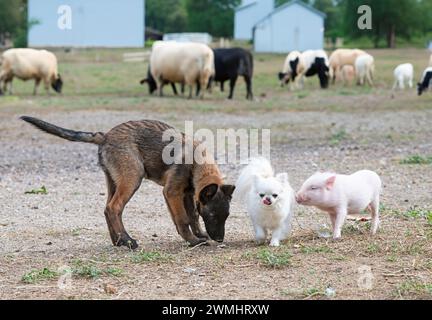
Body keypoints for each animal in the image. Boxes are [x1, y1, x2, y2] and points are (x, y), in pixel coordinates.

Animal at [21, 117, 236, 250]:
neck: (197, 162)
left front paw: (199, 235)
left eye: (226, 216)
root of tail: (105, 135)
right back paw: (128, 240)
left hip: (114, 181)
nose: (220, 239)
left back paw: (118, 241)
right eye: (212, 215)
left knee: (107, 208)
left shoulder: (188, 194)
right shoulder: (172, 192)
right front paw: (192, 241)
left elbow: (192, 216)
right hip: (132, 178)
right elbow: (183, 219)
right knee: (114, 208)